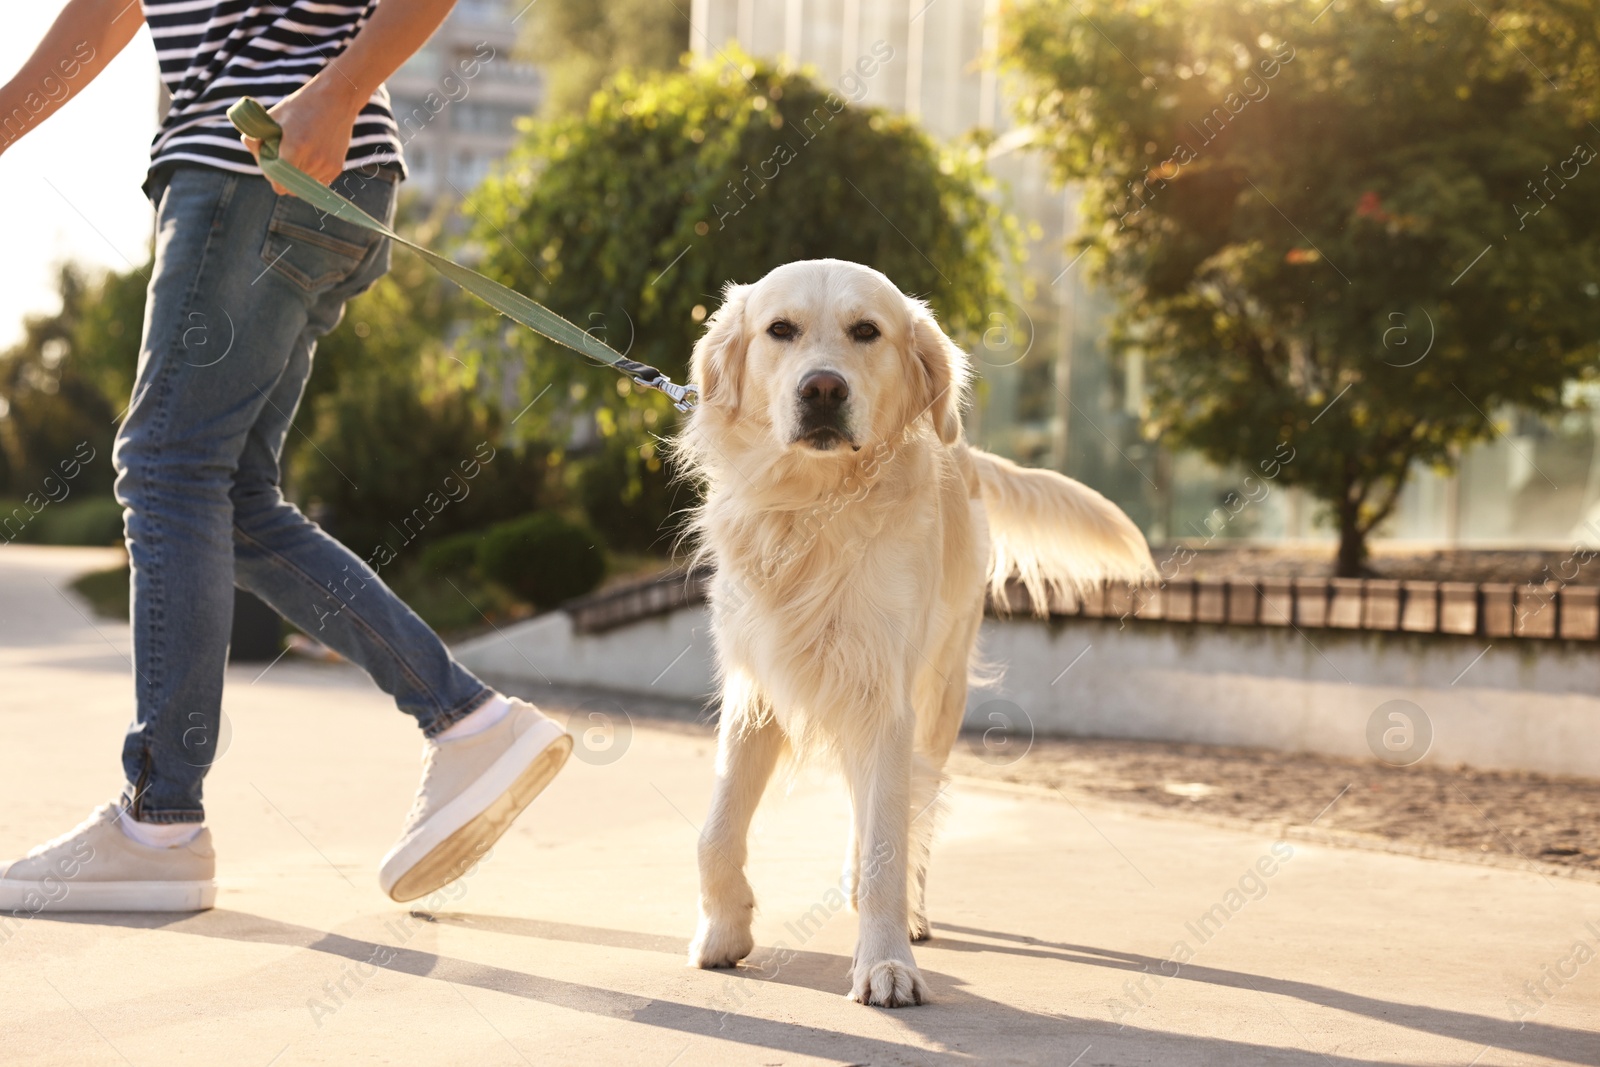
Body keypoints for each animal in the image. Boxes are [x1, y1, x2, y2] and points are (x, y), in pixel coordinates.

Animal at [675, 260, 1152, 1011]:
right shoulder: (758, 687)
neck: (814, 508)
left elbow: (888, 846)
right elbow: (717, 830)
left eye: (867, 331)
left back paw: (915, 915)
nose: (822, 389)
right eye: (780, 330)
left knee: (917, 806)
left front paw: (886, 961)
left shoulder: (885, 697)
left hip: (939, 690)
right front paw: (724, 931)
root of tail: (971, 456)